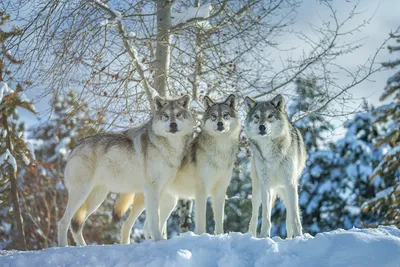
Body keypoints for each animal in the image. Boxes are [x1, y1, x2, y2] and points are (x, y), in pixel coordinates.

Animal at [57, 94, 195, 247]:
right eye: (166, 115)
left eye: (178, 114)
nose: (173, 125)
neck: (169, 147)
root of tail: (75, 146)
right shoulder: (152, 189)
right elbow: (154, 220)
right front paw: (158, 240)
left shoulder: (161, 189)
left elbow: (154, 221)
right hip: (81, 194)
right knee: (63, 222)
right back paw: (63, 246)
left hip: (96, 199)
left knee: (76, 224)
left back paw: (83, 246)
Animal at [244, 95, 306, 240]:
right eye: (256, 116)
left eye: (270, 115)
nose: (262, 127)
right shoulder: (265, 185)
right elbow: (266, 216)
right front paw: (264, 237)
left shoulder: (290, 183)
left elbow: (294, 217)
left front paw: (298, 237)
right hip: (258, 191)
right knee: (254, 217)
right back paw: (251, 236)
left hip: (287, 191)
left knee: (289, 216)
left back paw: (290, 237)